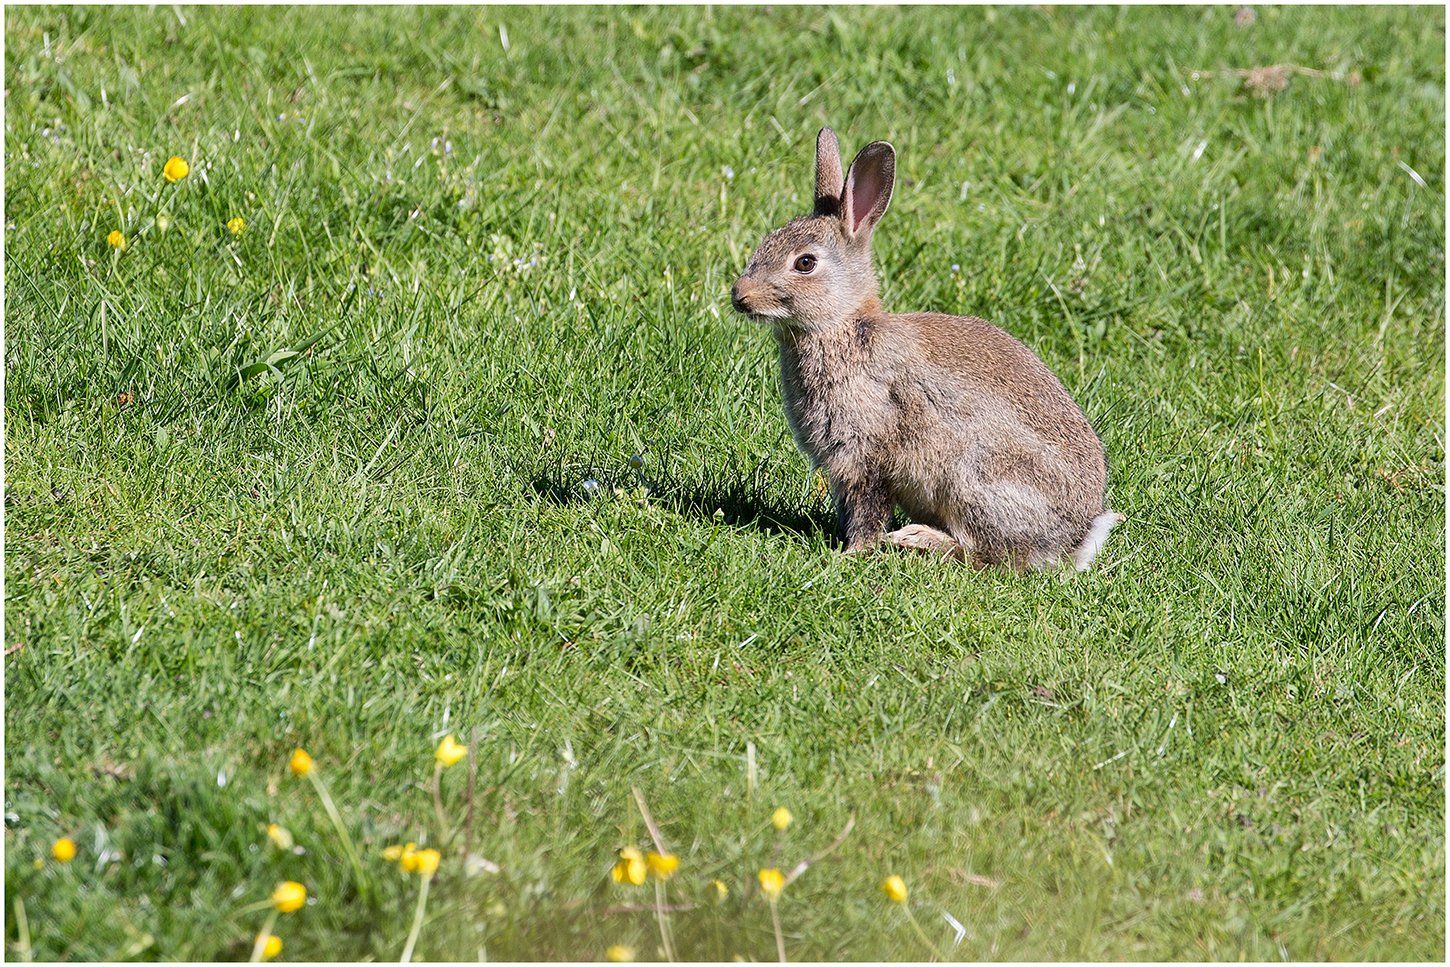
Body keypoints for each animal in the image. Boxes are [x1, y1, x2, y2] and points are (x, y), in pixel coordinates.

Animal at [729, 128, 1123, 571]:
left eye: (805, 263)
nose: (740, 296)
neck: (843, 325)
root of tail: (1075, 540)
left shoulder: (865, 452)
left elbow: (867, 508)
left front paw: (853, 554)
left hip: (973, 479)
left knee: (981, 551)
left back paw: (914, 539)